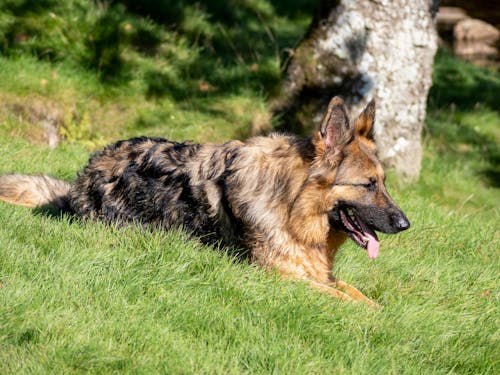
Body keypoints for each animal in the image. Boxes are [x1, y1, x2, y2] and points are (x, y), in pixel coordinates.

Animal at [0, 98, 410, 306]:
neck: (290, 202)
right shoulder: (280, 276)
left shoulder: (314, 271)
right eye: (368, 184)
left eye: (384, 183)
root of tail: (79, 180)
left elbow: (354, 291)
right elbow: (354, 301)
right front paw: (378, 316)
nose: (406, 224)